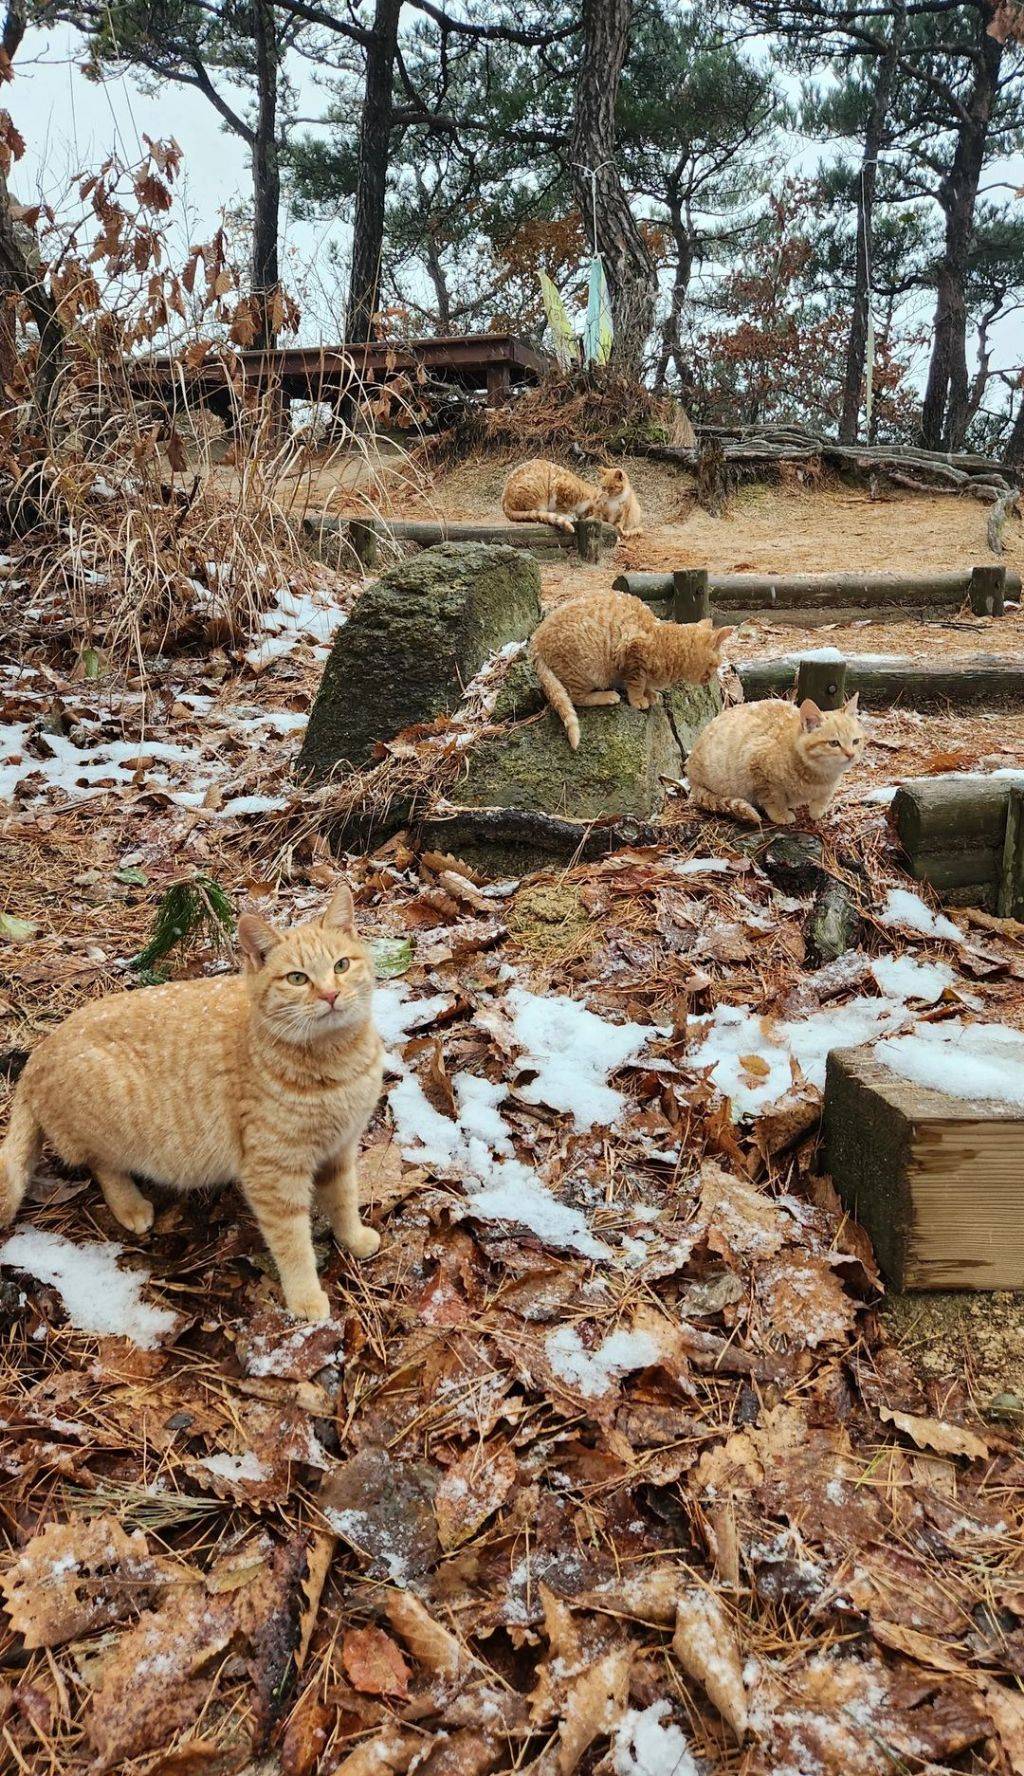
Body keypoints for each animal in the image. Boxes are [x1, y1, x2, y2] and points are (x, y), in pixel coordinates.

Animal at [0, 888, 383, 1321]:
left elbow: (345, 1198)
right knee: (102, 1165)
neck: (336, 1063)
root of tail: (37, 1052)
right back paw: (131, 1206)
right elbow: (293, 1243)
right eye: (297, 978)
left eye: (341, 965)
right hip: (113, 1121)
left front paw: (354, 1238)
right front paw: (305, 1297)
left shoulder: (342, 1148)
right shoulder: (273, 1175)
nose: (331, 995)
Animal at [500, 454, 642, 529]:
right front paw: (568, 515)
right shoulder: (558, 486)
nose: (585, 516)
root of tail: (504, 502)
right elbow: (561, 507)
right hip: (538, 496)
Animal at [532, 586, 731, 745]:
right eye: (716, 665)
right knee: (574, 698)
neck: (668, 643)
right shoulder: (633, 652)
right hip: (589, 670)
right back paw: (607, 696)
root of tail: (535, 639)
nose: (711, 679)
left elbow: (646, 684)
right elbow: (636, 682)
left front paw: (650, 693)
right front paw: (638, 699)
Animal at [688, 696, 862, 827]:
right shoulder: (757, 768)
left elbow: (824, 797)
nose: (851, 754)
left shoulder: (831, 784)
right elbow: (772, 798)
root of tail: (690, 774)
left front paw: (817, 811)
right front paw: (780, 814)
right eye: (834, 743)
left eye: (856, 741)